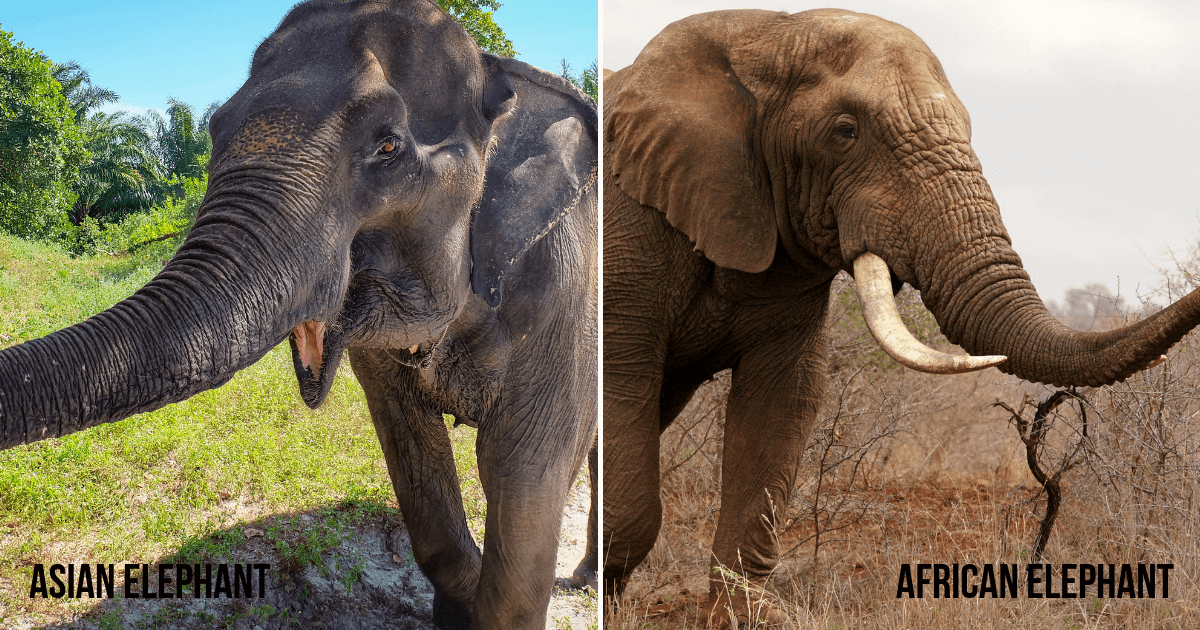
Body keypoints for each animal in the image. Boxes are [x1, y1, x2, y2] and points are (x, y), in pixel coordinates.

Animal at [0, 1, 597, 628]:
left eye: (388, 147)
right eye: (213, 128)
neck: (496, 73)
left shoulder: (564, 296)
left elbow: (524, 472)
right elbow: (413, 455)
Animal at [600, 8, 1200, 625]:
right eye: (844, 132)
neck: (763, 32)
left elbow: (782, 400)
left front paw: (744, 619)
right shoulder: (625, 232)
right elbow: (619, 386)